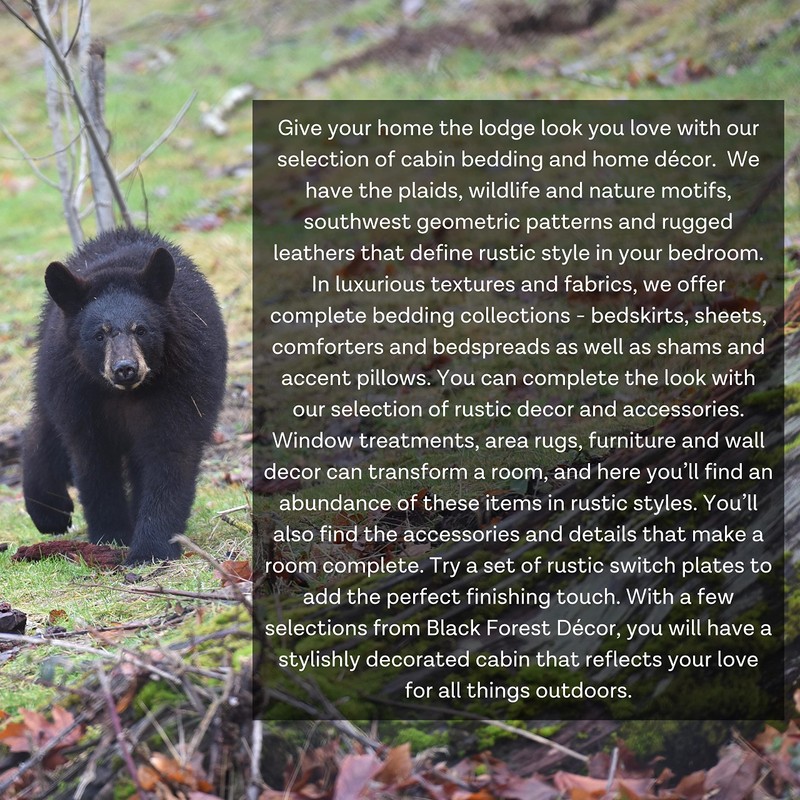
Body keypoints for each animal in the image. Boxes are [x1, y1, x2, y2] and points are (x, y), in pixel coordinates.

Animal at [22, 227, 227, 564]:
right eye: (99, 334)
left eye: (141, 329)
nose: (125, 368)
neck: (126, 396)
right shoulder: (78, 392)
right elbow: (93, 460)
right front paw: (110, 535)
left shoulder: (185, 381)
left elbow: (170, 454)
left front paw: (151, 548)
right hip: (52, 365)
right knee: (44, 423)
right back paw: (49, 511)